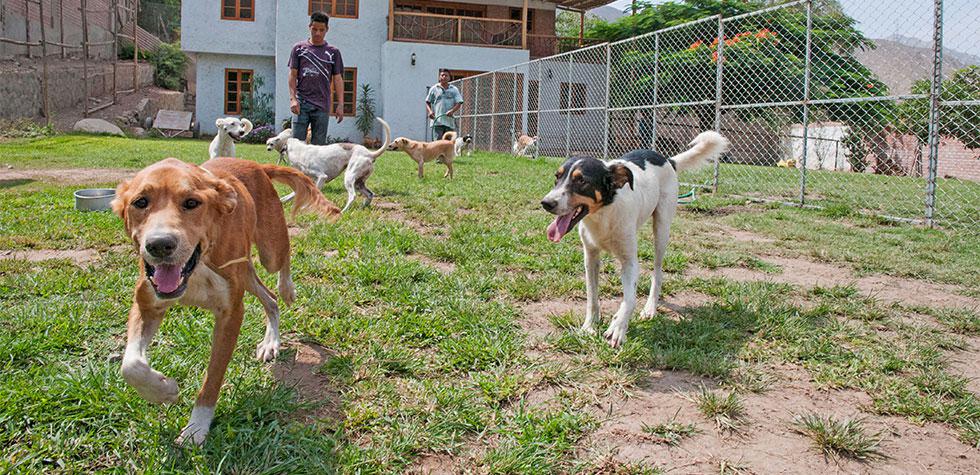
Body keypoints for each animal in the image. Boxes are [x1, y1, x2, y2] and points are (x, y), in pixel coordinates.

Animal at [110, 156, 338, 446]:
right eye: (140, 202)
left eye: (192, 203)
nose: (160, 245)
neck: (196, 266)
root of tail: (257, 165)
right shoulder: (147, 304)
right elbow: (131, 366)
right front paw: (164, 390)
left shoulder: (231, 314)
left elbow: (213, 377)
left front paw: (197, 427)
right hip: (245, 272)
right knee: (269, 298)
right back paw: (271, 341)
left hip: (269, 249)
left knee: (282, 260)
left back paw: (287, 289)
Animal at [536, 132, 728, 348]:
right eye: (557, 177)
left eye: (582, 181)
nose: (546, 203)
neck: (603, 215)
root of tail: (667, 159)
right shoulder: (590, 257)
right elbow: (592, 296)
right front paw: (590, 326)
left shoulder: (630, 262)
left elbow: (630, 299)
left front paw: (618, 328)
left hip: (662, 230)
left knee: (657, 272)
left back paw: (650, 307)